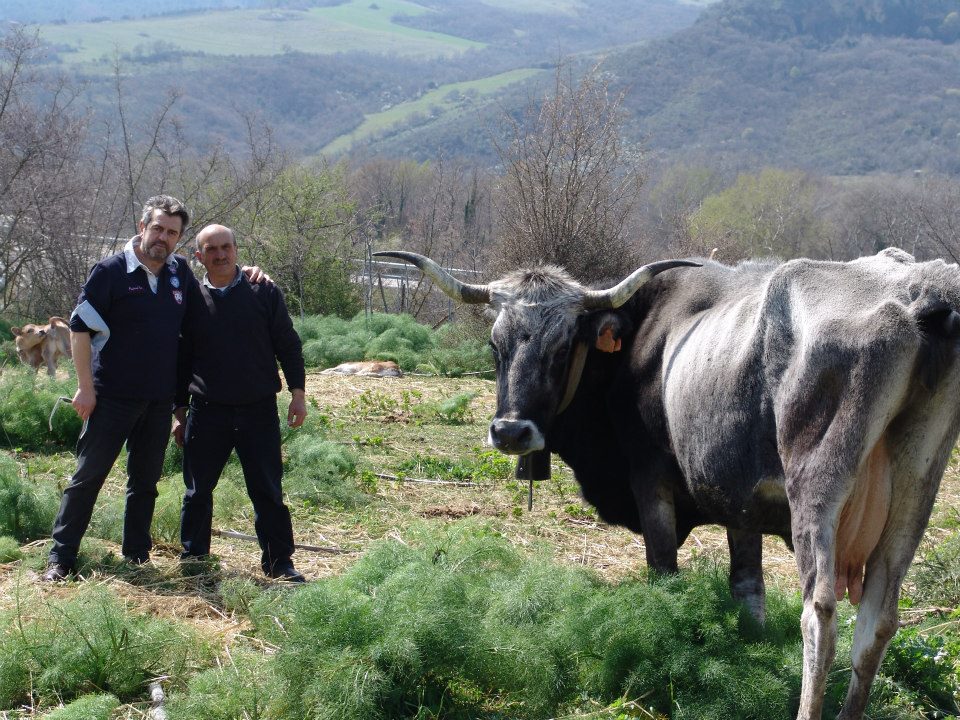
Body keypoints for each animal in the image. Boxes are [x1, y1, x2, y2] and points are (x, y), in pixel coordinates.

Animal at [376, 248, 960, 720]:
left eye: (563, 346)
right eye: (496, 344)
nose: (512, 431)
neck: (643, 342)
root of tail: (917, 291)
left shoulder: (651, 480)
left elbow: (664, 573)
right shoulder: (739, 499)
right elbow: (748, 589)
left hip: (817, 491)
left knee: (820, 616)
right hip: (915, 492)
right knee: (878, 620)